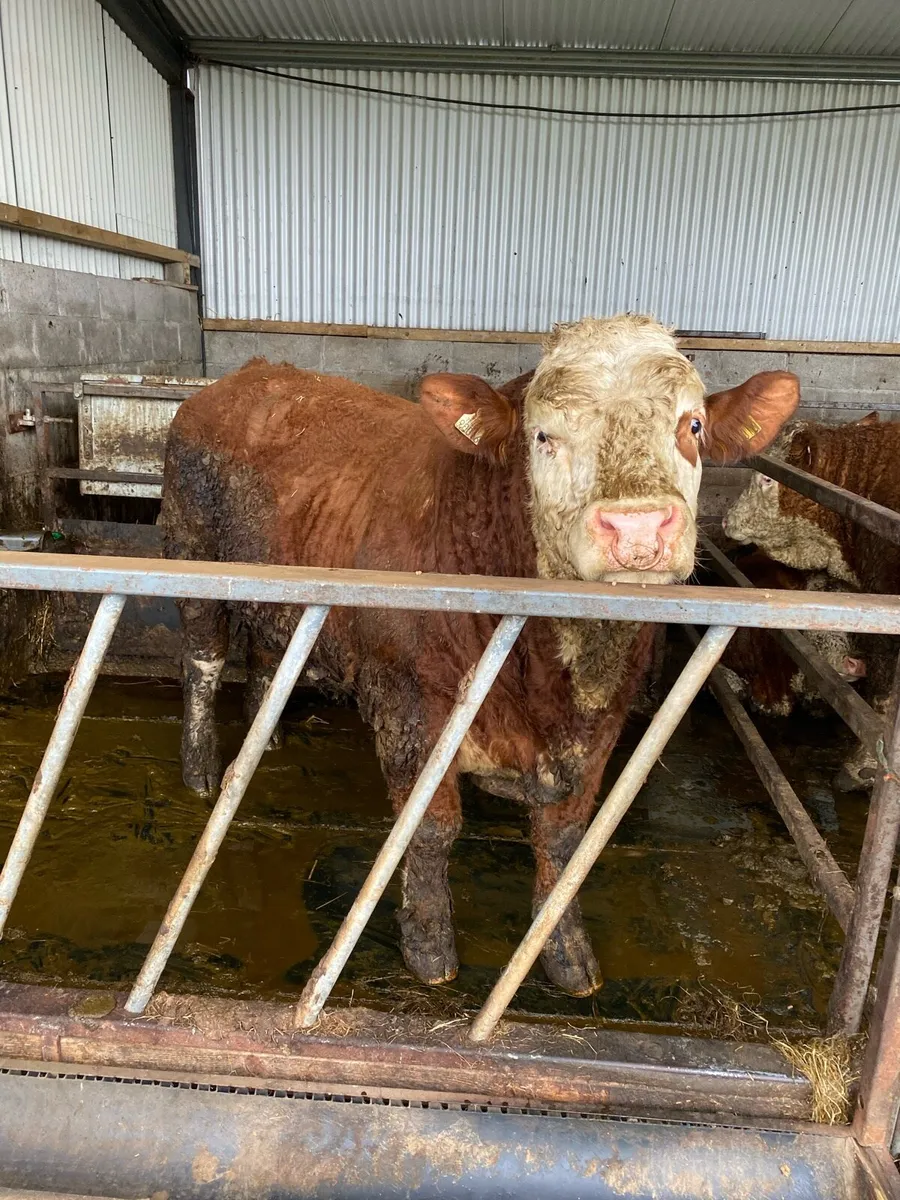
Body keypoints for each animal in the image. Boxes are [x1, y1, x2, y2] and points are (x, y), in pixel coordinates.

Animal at [162, 315, 799, 996]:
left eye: (693, 425)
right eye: (543, 435)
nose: (637, 528)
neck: (549, 678)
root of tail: (248, 375)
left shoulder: (602, 722)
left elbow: (565, 839)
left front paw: (566, 953)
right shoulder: (410, 705)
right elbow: (431, 827)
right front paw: (429, 947)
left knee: (268, 653)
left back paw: (267, 739)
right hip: (189, 548)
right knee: (202, 660)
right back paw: (200, 771)